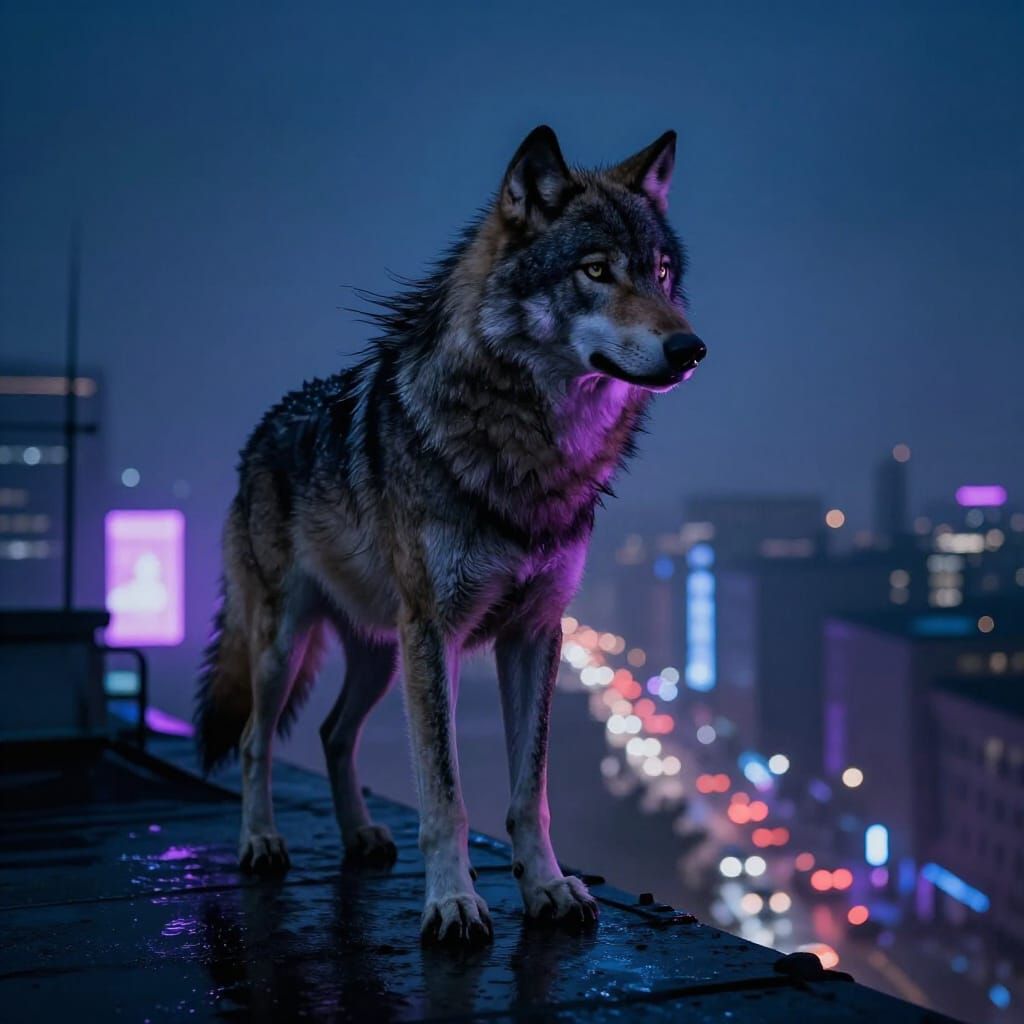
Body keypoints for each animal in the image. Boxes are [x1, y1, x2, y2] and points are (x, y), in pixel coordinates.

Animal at [195, 125, 706, 945]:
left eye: (660, 272)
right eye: (596, 270)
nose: (691, 349)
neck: (530, 451)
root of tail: (259, 435)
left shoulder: (535, 632)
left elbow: (530, 792)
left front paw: (548, 888)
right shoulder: (436, 632)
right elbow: (446, 793)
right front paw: (452, 902)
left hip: (380, 655)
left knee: (334, 734)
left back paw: (361, 835)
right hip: (288, 646)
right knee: (252, 741)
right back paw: (262, 840)